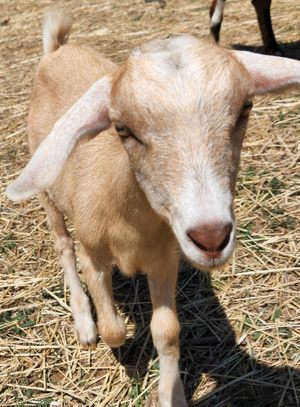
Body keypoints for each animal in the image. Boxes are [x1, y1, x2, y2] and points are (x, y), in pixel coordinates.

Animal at [6, 7, 300, 407]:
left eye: (246, 107)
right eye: (122, 128)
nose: (211, 236)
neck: (129, 221)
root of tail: (57, 50)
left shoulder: (165, 257)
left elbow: (168, 331)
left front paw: (170, 393)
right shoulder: (93, 254)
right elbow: (113, 329)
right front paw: (113, 340)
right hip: (48, 195)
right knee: (63, 246)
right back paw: (84, 321)